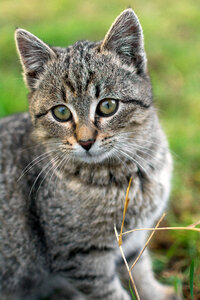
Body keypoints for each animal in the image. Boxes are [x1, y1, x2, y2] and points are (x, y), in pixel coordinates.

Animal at [0, 7, 180, 300]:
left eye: (107, 106)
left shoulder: (132, 239)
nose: (85, 141)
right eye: (61, 112)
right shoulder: (81, 258)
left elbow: (139, 269)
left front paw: (156, 292)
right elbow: (112, 293)